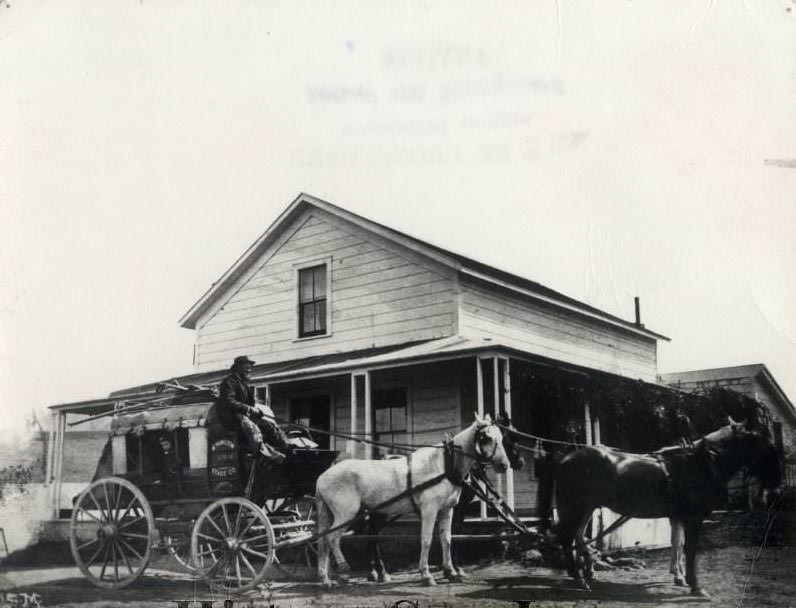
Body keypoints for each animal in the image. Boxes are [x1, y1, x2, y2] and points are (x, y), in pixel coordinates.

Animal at [314, 410, 506, 588]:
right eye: (486, 437)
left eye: (501, 437)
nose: (504, 465)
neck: (444, 464)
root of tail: (322, 477)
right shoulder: (429, 509)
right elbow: (426, 540)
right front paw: (426, 575)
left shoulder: (447, 509)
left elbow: (447, 539)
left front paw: (451, 571)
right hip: (346, 514)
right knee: (332, 538)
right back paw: (344, 569)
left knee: (326, 541)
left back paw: (326, 579)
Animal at [552, 420, 780, 596]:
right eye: (765, 447)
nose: (775, 488)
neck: (699, 464)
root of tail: (565, 458)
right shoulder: (693, 517)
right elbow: (689, 549)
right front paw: (695, 586)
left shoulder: (677, 515)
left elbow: (678, 544)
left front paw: (680, 578)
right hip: (575, 508)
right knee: (567, 538)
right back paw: (579, 578)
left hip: (586, 509)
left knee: (577, 537)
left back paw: (584, 572)